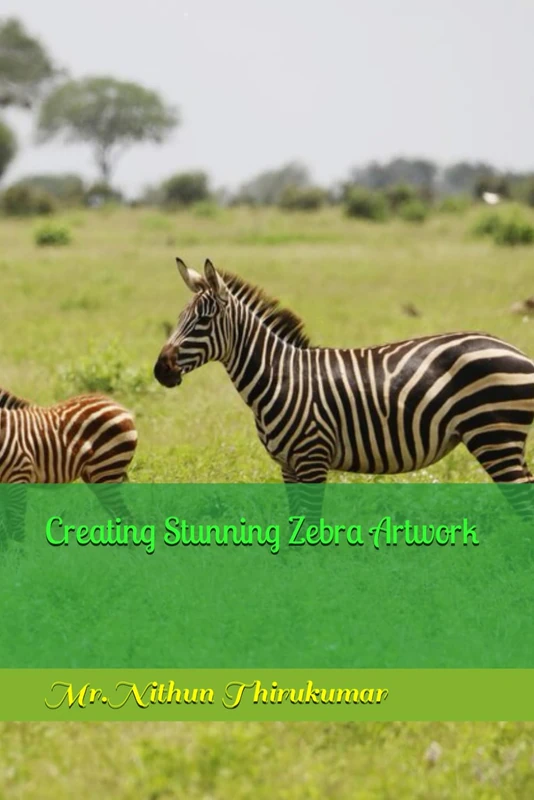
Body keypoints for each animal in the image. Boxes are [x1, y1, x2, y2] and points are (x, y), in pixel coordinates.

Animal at [0, 388, 138, 545]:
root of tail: (117, 405)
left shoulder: (19, 475)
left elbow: (15, 524)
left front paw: (21, 551)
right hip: (95, 475)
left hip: (107, 469)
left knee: (124, 516)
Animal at [154, 259, 534, 506]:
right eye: (179, 318)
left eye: (202, 321)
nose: (160, 370)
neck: (279, 378)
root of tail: (517, 351)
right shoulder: (288, 466)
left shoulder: (312, 458)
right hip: (505, 440)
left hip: (494, 436)